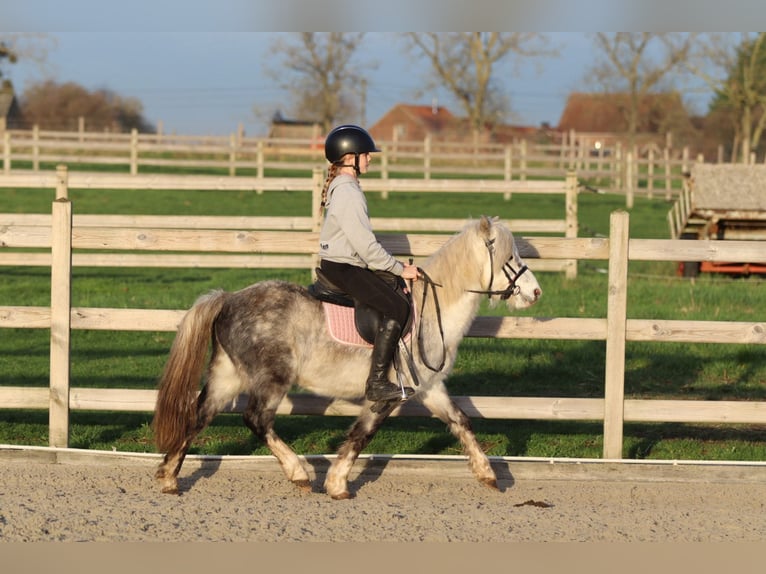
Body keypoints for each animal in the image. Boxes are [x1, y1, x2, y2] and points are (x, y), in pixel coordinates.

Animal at [152, 215, 542, 499]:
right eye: (509, 258)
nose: (535, 291)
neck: (433, 311)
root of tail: (228, 298)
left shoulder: (429, 387)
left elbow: (461, 421)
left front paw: (488, 475)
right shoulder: (389, 393)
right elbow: (362, 434)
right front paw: (337, 484)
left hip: (226, 377)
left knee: (197, 416)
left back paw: (169, 478)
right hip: (272, 378)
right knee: (256, 420)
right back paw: (299, 473)